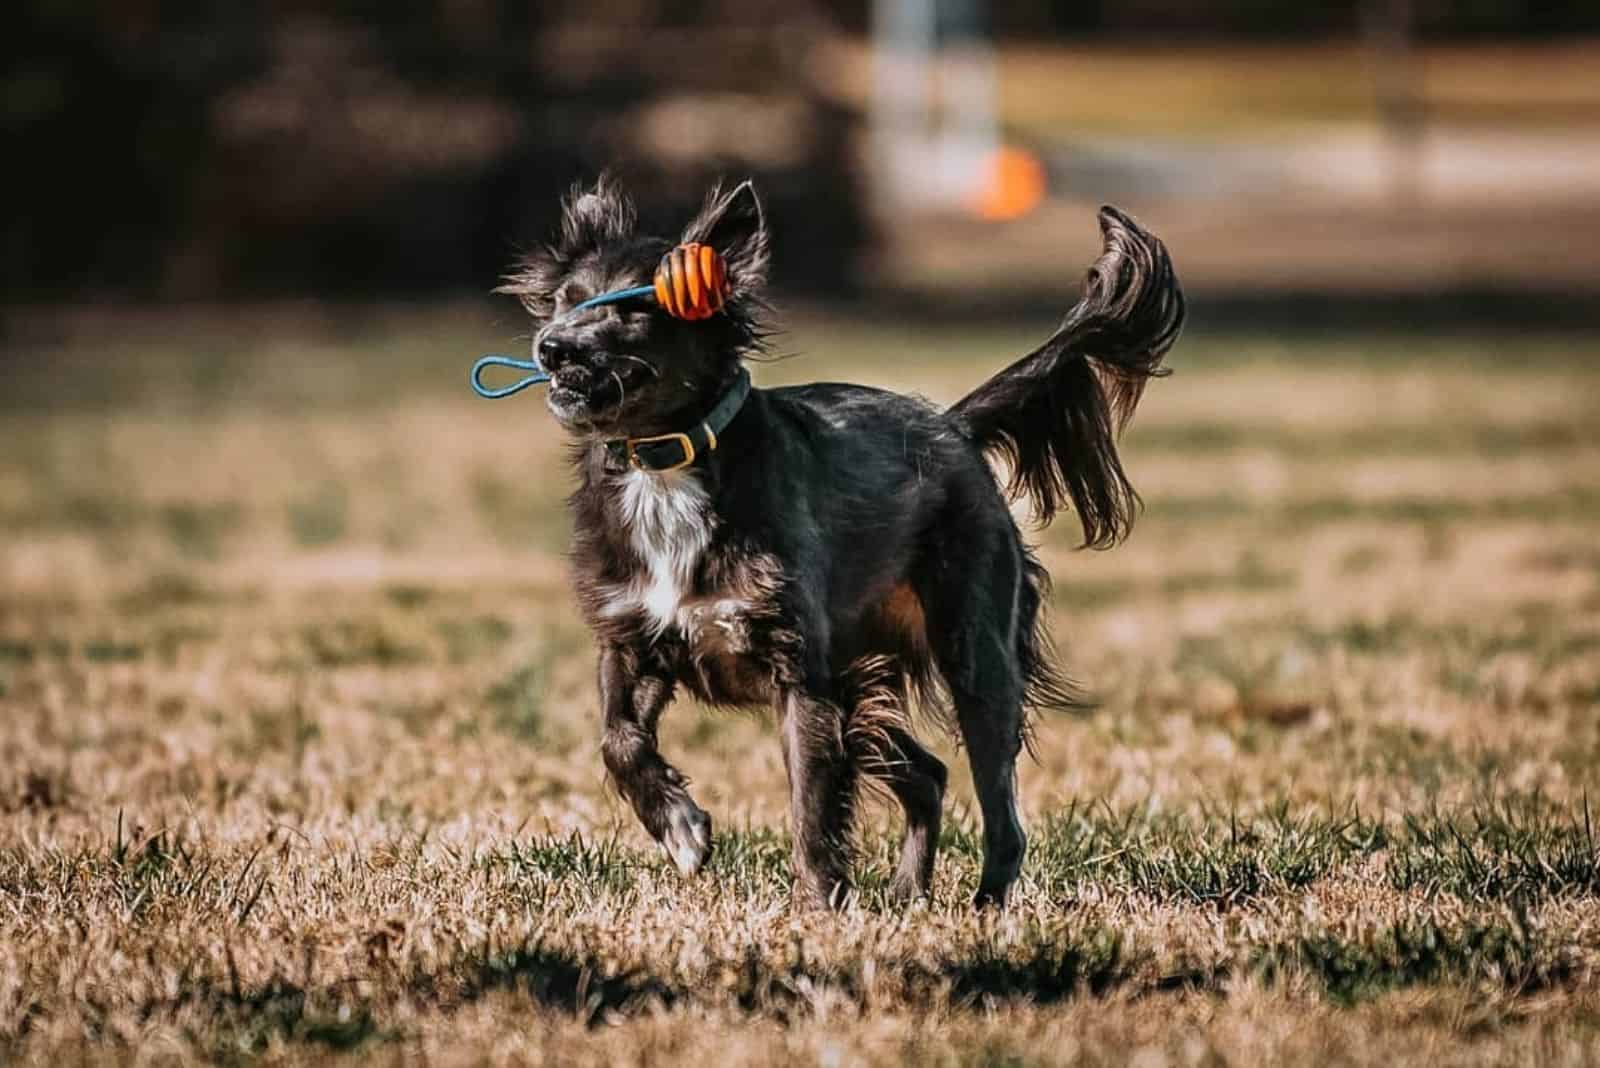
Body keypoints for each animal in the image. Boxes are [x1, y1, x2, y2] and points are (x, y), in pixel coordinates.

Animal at [502, 177, 1190, 908]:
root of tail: (951, 428)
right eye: (565, 300)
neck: (664, 465)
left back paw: (987, 903)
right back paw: (909, 891)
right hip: (860, 684)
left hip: (974, 654)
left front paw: (818, 904)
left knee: (996, 801)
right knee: (928, 774)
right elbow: (619, 740)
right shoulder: (632, 641)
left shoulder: (801, 675)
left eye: (633, 311)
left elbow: (810, 801)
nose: (552, 347)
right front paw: (681, 827)